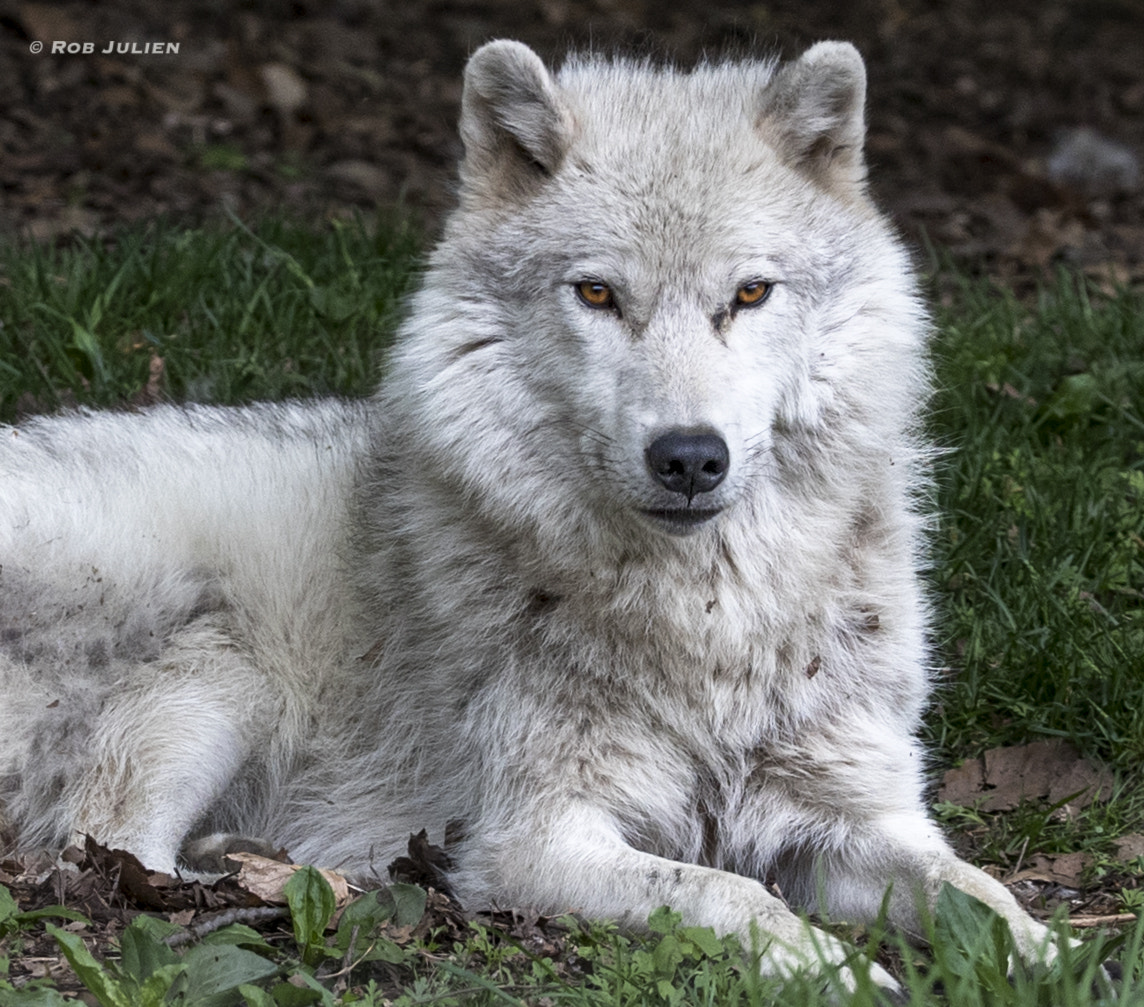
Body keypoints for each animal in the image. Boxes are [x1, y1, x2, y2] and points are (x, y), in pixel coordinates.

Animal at [4, 37, 1066, 993]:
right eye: (597, 293)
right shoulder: (533, 840)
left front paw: (1064, 961)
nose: (689, 455)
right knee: (97, 849)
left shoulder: (858, 817)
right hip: (221, 679)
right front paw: (833, 969)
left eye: (750, 292)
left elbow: (983, 894)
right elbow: (730, 891)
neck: (709, 625)